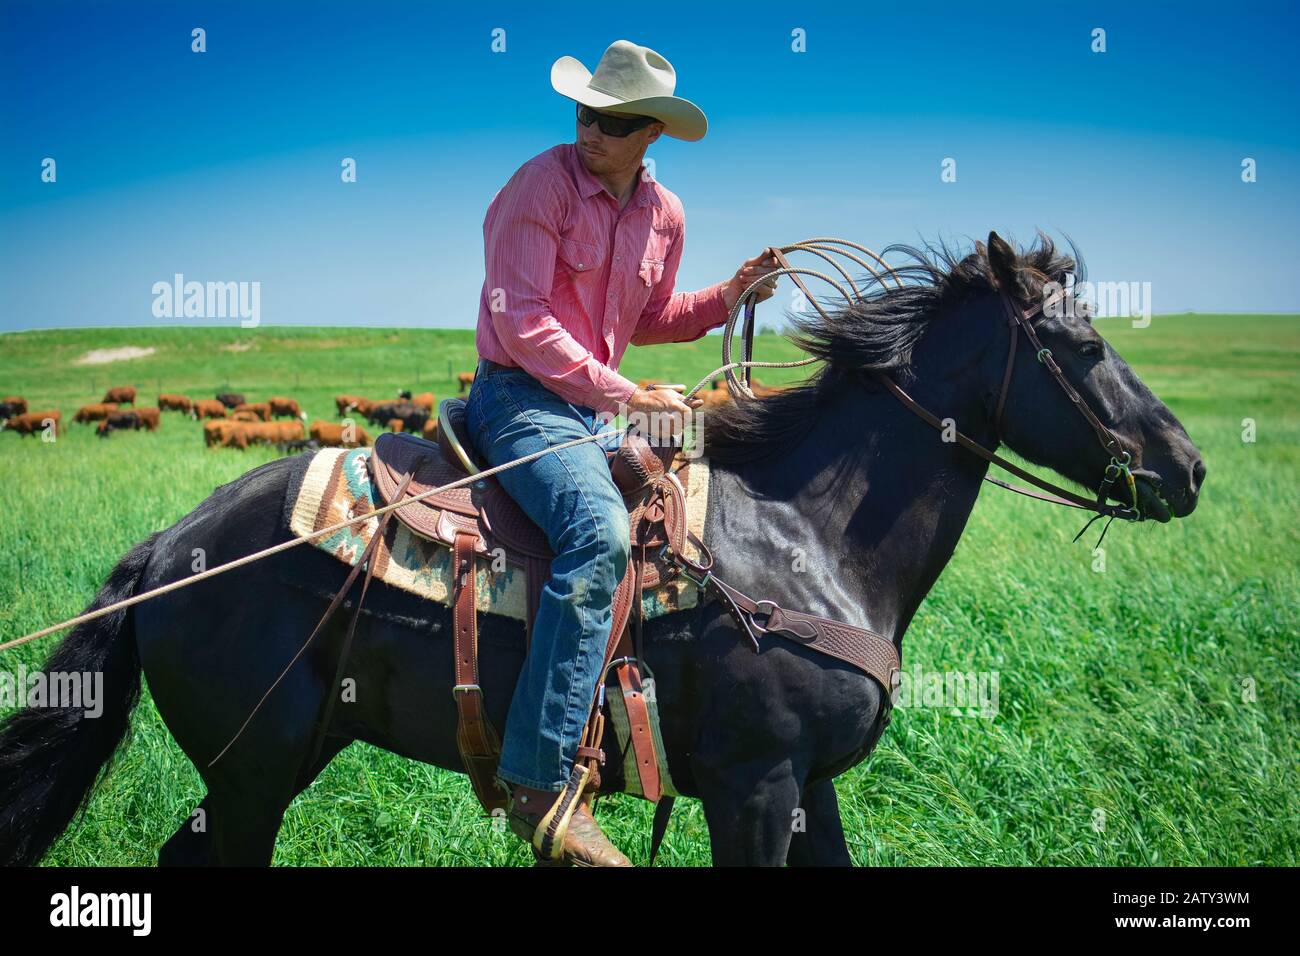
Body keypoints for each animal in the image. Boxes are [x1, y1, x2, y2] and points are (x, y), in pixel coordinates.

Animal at [0, 234, 1206, 868]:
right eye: (1083, 346)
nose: (1187, 467)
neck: (808, 536)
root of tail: (175, 546)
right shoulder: (754, 786)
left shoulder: (809, 785)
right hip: (253, 772)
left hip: (274, 761)